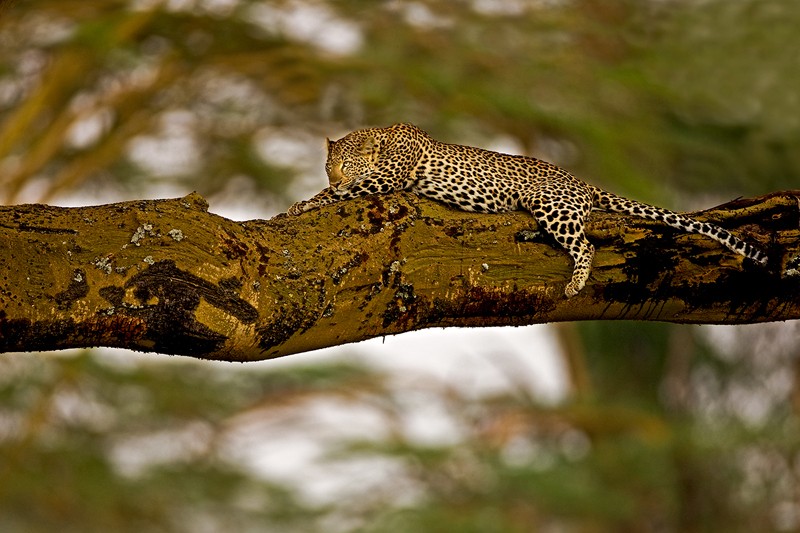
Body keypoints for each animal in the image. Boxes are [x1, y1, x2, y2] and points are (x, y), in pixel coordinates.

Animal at [290, 123, 768, 298]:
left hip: (551, 202)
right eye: (328, 165)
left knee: (586, 245)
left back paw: (575, 284)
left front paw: (300, 204)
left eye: (347, 165)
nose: (334, 176)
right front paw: (311, 197)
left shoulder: (384, 179)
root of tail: (580, 181)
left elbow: (334, 196)